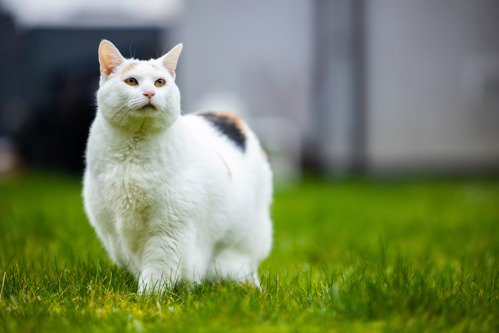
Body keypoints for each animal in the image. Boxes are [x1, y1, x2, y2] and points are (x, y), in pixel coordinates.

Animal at [85, 40, 274, 292]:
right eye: (131, 81)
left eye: (160, 82)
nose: (149, 93)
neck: (132, 158)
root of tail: (230, 116)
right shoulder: (113, 232)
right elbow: (134, 262)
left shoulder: (169, 231)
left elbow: (156, 271)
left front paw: (147, 296)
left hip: (246, 240)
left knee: (244, 266)